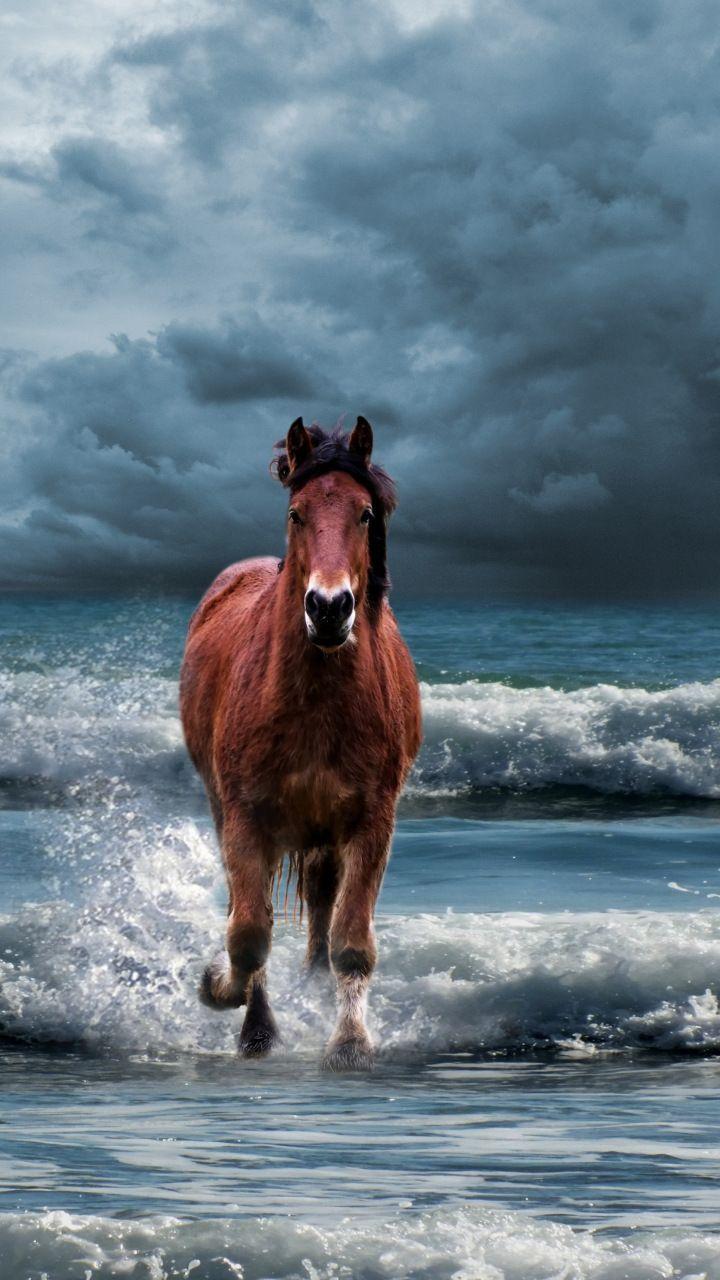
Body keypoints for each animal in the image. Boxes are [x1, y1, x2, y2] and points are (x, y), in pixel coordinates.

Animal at [180, 416, 422, 1070]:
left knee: (320, 906)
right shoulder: (245, 819)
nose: (329, 608)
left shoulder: (372, 822)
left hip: (324, 834)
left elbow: (351, 940)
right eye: (296, 513)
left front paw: (350, 1042)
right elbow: (247, 934)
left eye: (365, 513)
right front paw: (229, 1001)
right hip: (226, 808)